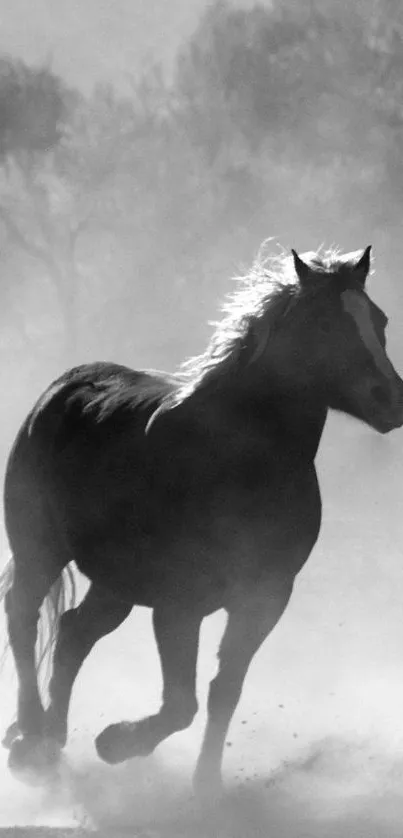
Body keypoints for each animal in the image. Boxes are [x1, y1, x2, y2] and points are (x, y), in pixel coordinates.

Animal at [0, 244, 403, 800]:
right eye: (325, 323)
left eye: (379, 320)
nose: (392, 400)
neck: (240, 462)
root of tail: (64, 388)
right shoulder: (179, 604)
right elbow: (180, 703)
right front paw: (116, 742)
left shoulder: (265, 597)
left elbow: (223, 691)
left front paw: (206, 785)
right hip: (40, 549)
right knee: (24, 617)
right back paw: (30, 739)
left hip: (116, 583)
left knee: (73, 632)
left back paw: (52, 742)